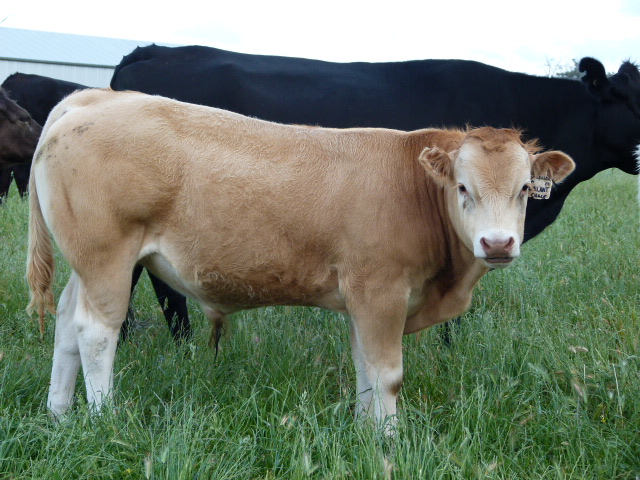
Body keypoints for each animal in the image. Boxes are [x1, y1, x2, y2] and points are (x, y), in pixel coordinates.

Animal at [26, 88, 575, 425]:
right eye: (463, 188)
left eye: (525, 188)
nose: (498, 244)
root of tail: (96, 97)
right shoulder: (380, 291)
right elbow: (387, 376)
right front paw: (388, 443)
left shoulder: (361, 300)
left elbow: (365, 372)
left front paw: (364, 433)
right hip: (108, 258)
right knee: (96, 332)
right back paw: (104, 418)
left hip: (87, 264)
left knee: (66, 322)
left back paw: (59, 414)